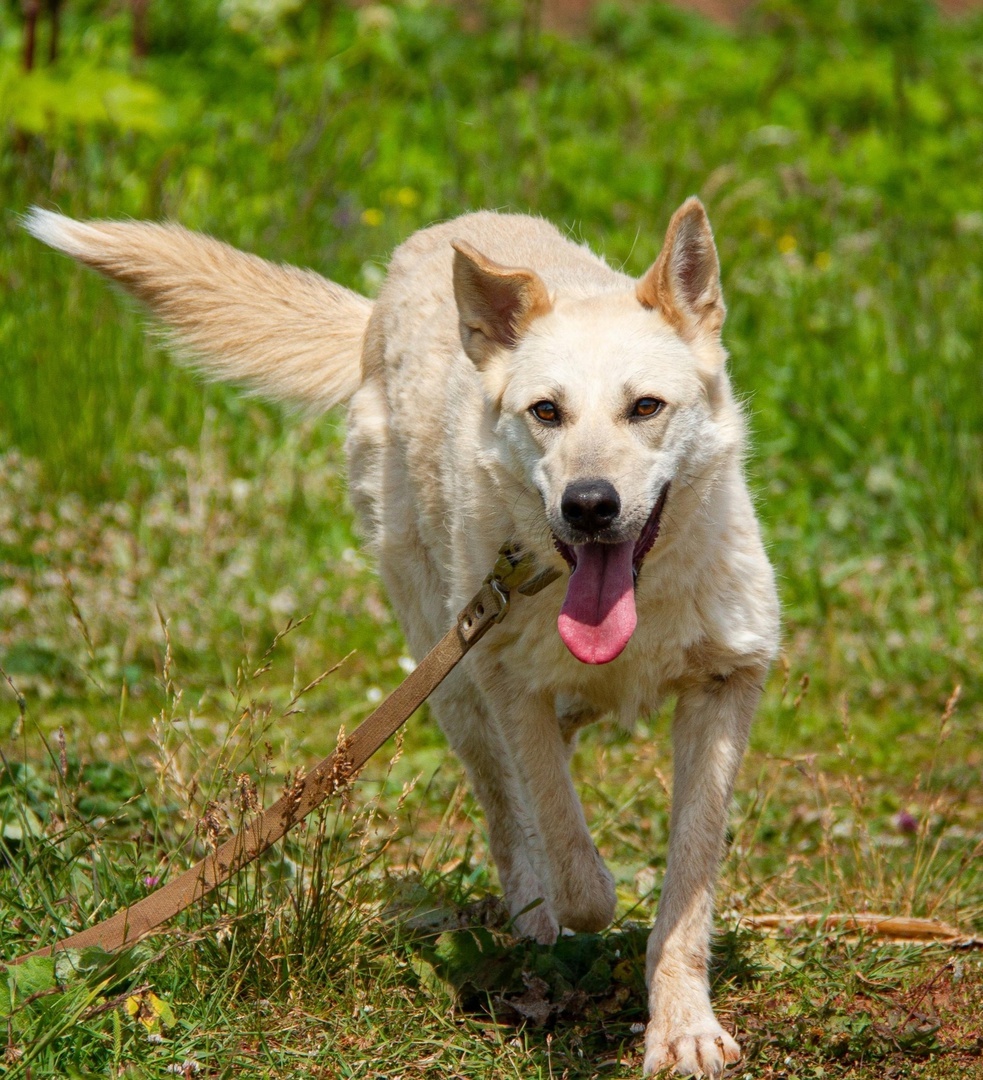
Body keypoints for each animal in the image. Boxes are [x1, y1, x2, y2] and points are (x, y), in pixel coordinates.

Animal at [30, 200, 782, 1071]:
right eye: (547, 412)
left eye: (646, 407)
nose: (588, 505)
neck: (636, 597)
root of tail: (387, 290)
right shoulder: (506, 683)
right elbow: (574, 862)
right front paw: (582, 909)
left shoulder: (724, 686)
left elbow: (689, 880)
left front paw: (683, 1026)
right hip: (449, 671)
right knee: (509, 809)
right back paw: (530, 919)